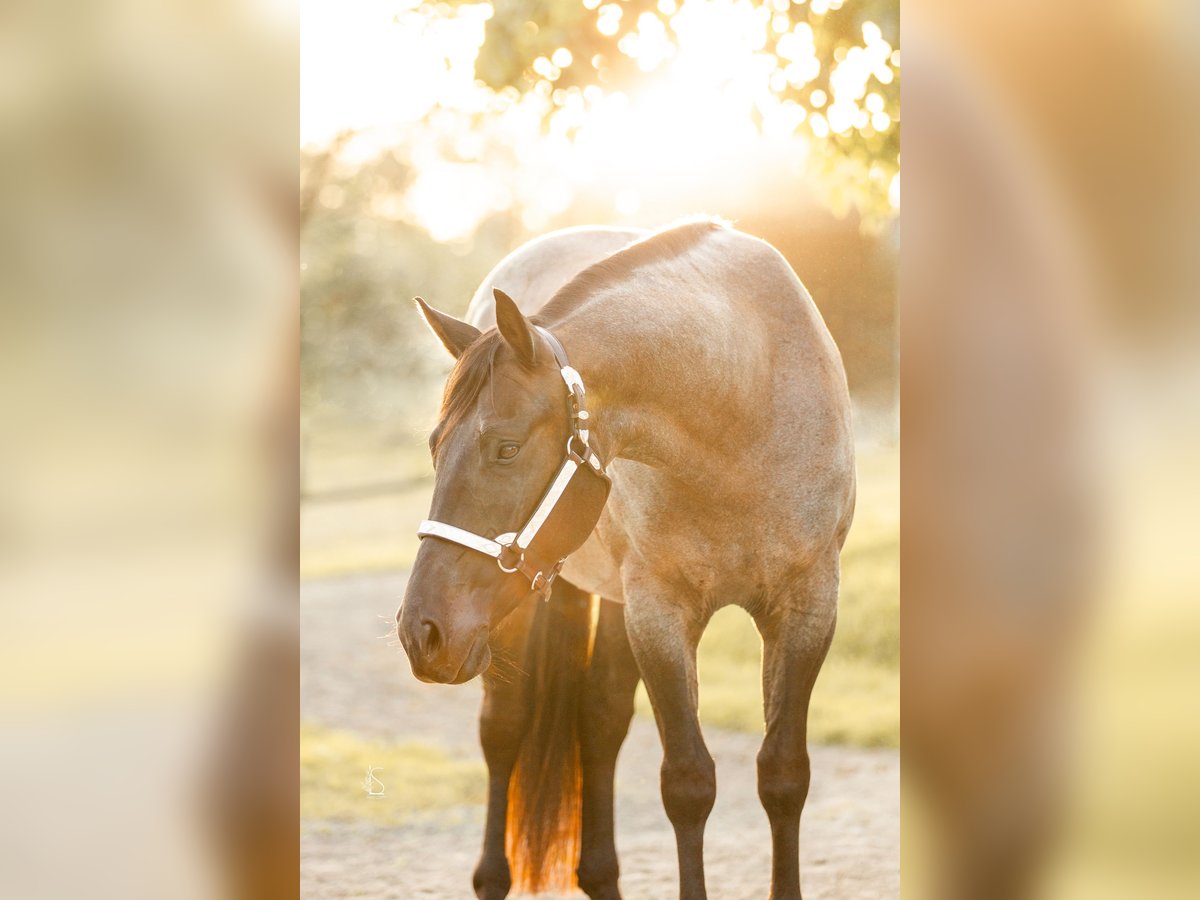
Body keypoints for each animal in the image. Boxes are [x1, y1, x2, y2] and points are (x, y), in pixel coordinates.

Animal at [398, 220, 849, 900]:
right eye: (433, 447)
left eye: (506, 448)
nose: (419, 632)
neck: (742, 402)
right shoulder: (658, 614)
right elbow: (688, 784)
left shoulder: (809, 608)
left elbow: (784, 774)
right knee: (505, 726)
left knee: (600, 720)